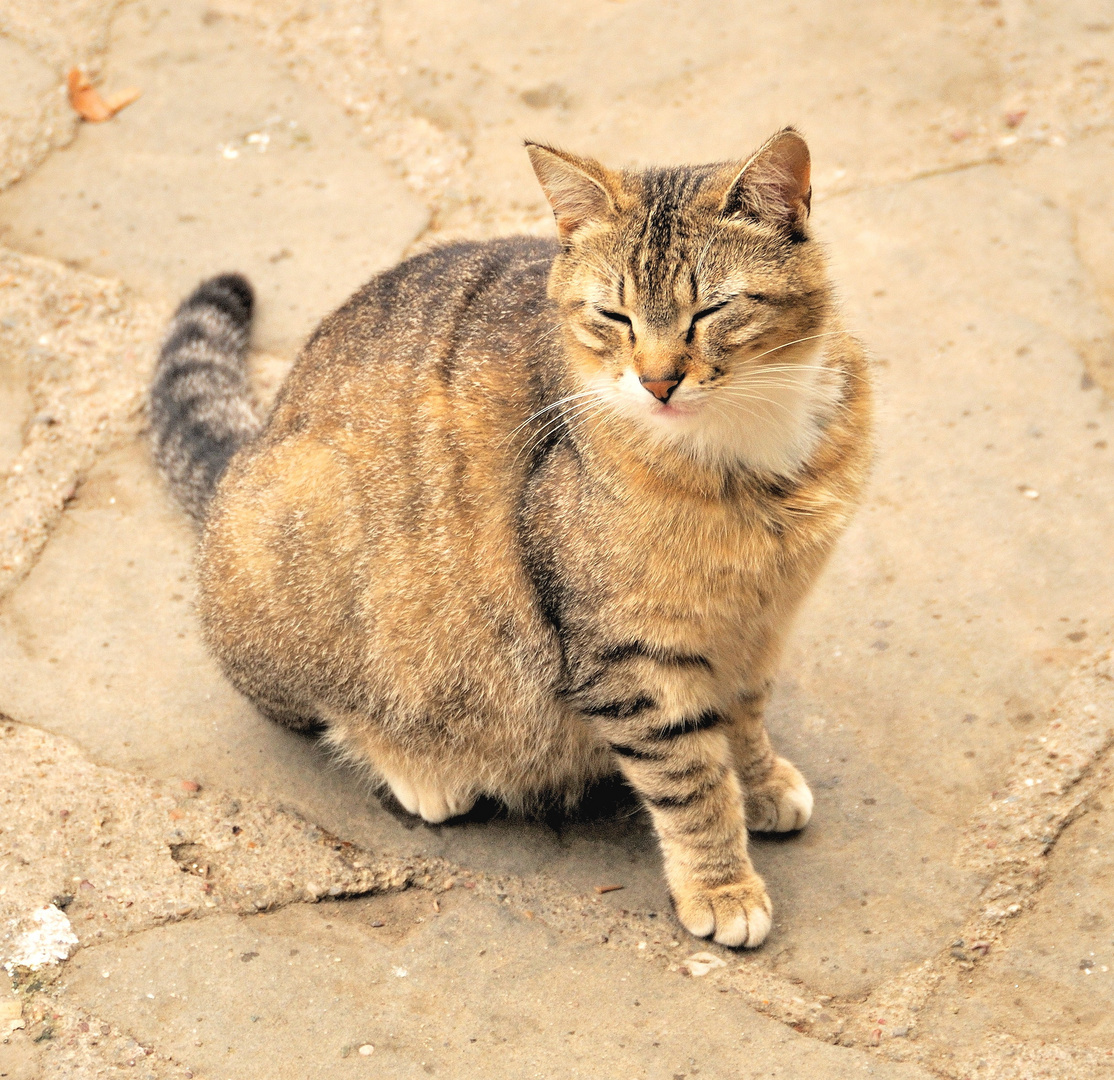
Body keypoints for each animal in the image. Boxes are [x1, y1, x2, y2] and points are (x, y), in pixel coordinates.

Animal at [152, 128, 873, 945]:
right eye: (614, 316)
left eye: (712, 309)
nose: (658, 382)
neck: (747, 456)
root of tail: (250, 445)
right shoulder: (628, 657)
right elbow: (689, 779)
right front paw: (722, 885)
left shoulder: (756, 626)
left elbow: (742, 721)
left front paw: (761, 781)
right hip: (302, 539)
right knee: (327, 707)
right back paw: (415, 767)